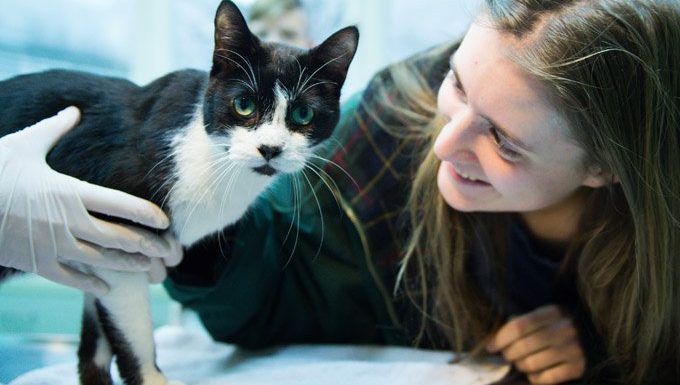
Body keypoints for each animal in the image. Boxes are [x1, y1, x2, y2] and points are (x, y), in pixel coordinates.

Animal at [0, 1, 362, 382]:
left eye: (303, 113)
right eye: (243, 105)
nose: (270, 148)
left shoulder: (97, 256)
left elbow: (95, 340)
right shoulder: (117, 241)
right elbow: (133, 330)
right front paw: (151, 378)